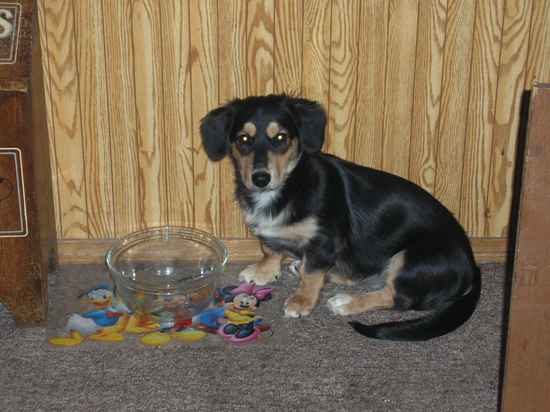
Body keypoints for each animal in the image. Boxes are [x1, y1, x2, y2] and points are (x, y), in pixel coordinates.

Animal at [201, 94, 480, 342]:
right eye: (243, 140)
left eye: (280, 138)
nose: (260, 178)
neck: (285, 189)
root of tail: (471, 264)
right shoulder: (276, 238)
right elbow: (270, 249)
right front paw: (264, 271)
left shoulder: (325, 240)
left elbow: (312, 274)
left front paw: (301, 301)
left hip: (410, 258)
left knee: (395, 297)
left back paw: (345, 302)